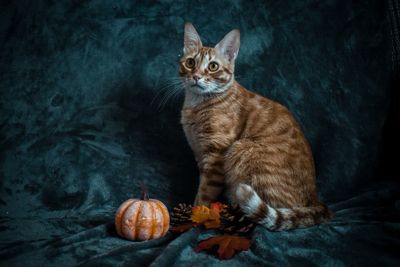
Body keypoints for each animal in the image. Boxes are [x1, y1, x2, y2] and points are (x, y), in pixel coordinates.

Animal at [178, 23, 332, 231]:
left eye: (213, 66)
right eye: (190, 63)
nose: (196, 76)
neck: (197, 104)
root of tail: (315, 199)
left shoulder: (215, 157)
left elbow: (204, 194)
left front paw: (195, 217)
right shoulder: (199, 154)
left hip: (242, 149)